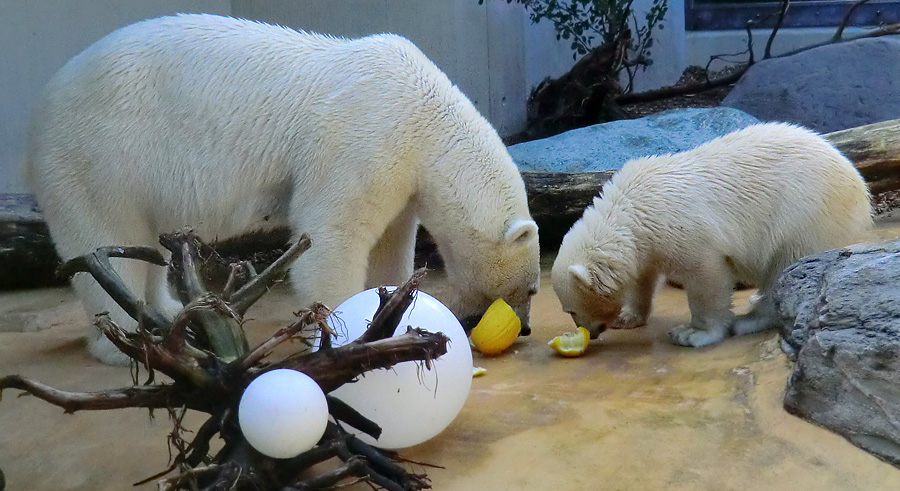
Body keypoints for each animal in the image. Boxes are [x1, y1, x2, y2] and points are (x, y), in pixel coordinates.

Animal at [24, 13, 536, 366]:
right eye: (527, 288)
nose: (527, 327)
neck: (426, 116)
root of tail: (42, 106)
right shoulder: (364, 139)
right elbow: (331, 238)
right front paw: (344, 336)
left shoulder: (400, 173)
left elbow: (390, 244)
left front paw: (389, 308)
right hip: (100, 155)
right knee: (105, 240)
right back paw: (127, 341)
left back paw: (168, 314)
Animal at [548, 125, 872, 350]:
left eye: (571, 310)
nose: (590, 332)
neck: (631, 206)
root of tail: (862, 191)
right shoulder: (648, 241)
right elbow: (643, 276)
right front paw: (628, 317)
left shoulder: (686, 229)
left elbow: (707, 278)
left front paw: (693, 333)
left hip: (805, 217)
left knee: (785, 266)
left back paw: (749, 319)